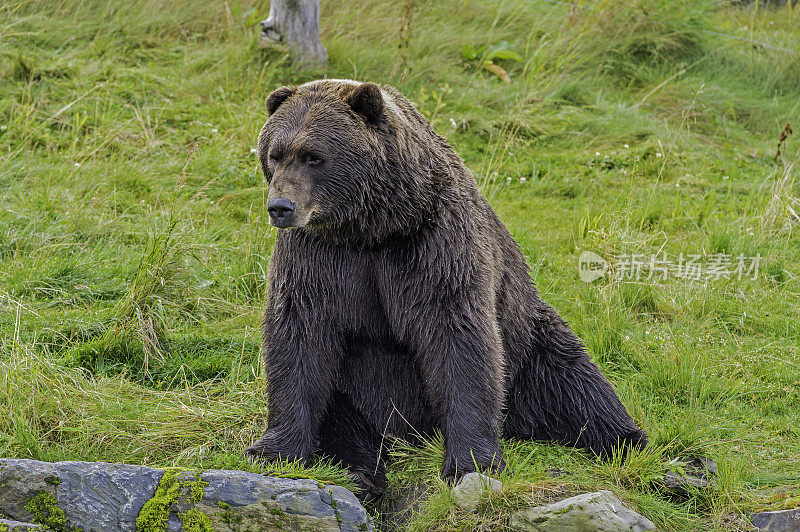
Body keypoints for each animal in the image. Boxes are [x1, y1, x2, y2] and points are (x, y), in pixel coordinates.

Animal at [247, 79, 648, 498]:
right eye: (275, 154)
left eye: (314, 157)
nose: (281, 206)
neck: (371, 228)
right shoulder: (317, 257)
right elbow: (300, 336)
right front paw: (273, 450)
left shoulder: (434, 246)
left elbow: (458, 337)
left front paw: (471, 461)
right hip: (354, 396)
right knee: (342, 421)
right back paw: (360, 471)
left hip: (528, 343)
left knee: (572, 383)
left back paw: (628, 441)